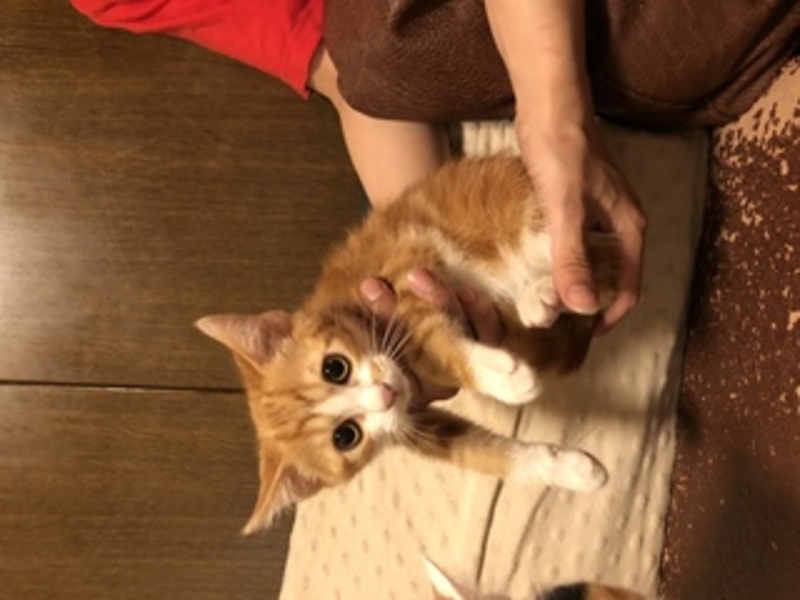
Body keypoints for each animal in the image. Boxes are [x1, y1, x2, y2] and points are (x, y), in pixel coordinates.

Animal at [196, 155, 619, 534]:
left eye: (335, 367)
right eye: (346, 436)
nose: (386, 393)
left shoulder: (404, 265)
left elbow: (429, 337)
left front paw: (503, 378)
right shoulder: (412, 424)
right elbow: (481, 453)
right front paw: (570, 469)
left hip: (529, 217)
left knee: (598, 265)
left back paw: (546, 291)